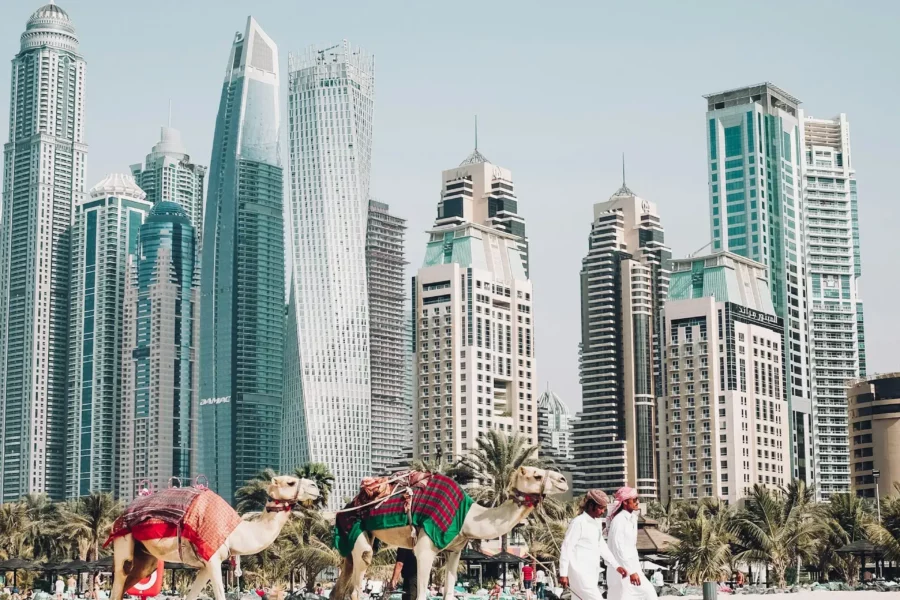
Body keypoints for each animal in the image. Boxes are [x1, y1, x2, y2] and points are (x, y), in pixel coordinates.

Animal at [111, 478, 318, 600]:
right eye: (290, 482)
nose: (315, 487)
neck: (235, 533)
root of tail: (119, 517)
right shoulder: (213, 559)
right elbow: (219, 594)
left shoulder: (205, 564)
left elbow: (191, 595)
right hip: (123, 541)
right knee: (120, 578)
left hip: (146, 558)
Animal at [334, 466, 568, 600]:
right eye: (537, 475)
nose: (563, 480)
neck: (466, 517)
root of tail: (348, 505)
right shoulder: (425, 549)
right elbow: (421, 595)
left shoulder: (455, 551)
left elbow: (448, 593)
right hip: (355, 527)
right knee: (357, 581)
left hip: (354, 540)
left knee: (341, 586)